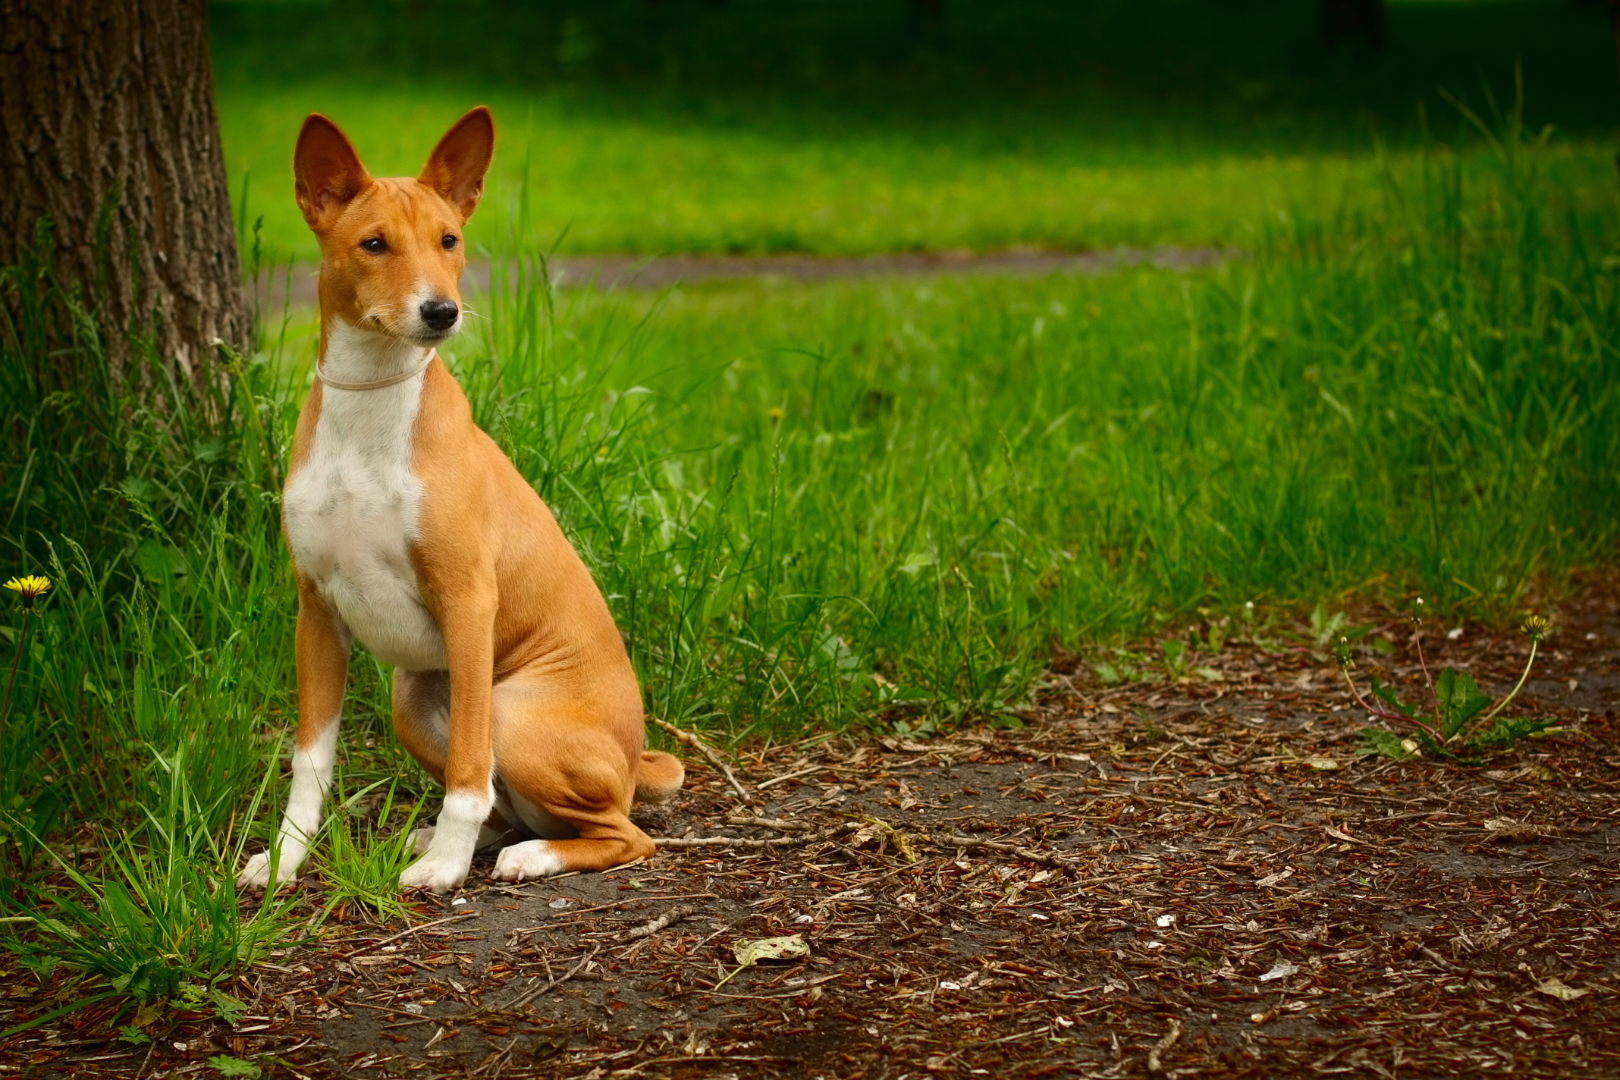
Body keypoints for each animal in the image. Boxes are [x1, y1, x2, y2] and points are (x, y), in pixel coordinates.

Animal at [238, 105, 683, 893]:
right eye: (374, 243)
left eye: (449, 240)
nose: (441, 311)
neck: (370, 411)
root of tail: (636, 760)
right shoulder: (315, 609)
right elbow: (310, 761)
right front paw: (286, 858)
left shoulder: (468, 601)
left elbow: (470, 770)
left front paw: (445, 868)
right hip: (410, 701)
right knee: (514, 806)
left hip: (513, 709)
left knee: (623, 831)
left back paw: (524, 855)